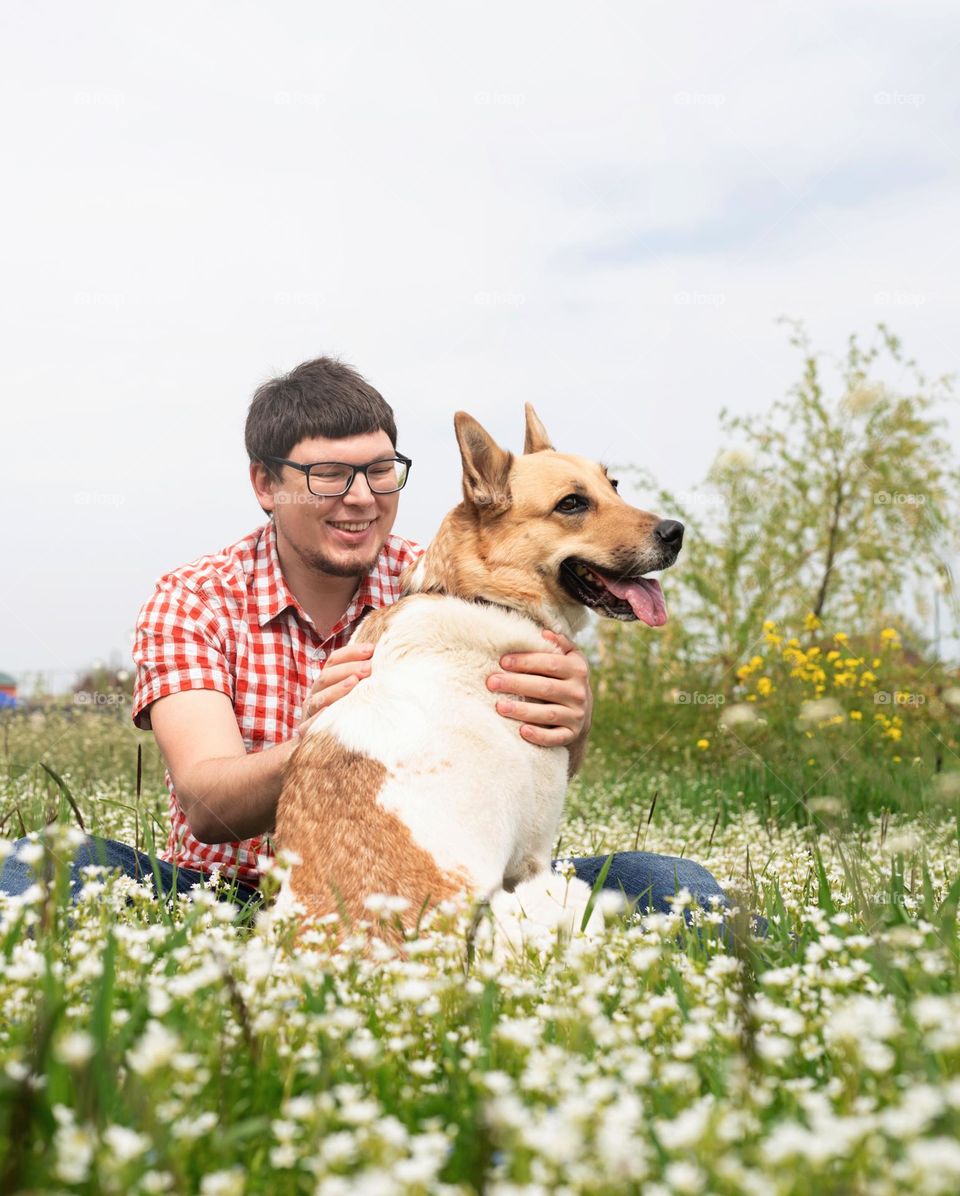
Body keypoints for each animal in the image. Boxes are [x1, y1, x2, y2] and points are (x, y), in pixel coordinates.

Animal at [272, 406, 683, 947]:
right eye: (572, 504)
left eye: (612, 485)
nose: (677, 532)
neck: (483, 595)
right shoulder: (533, 852)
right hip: (554, 895)